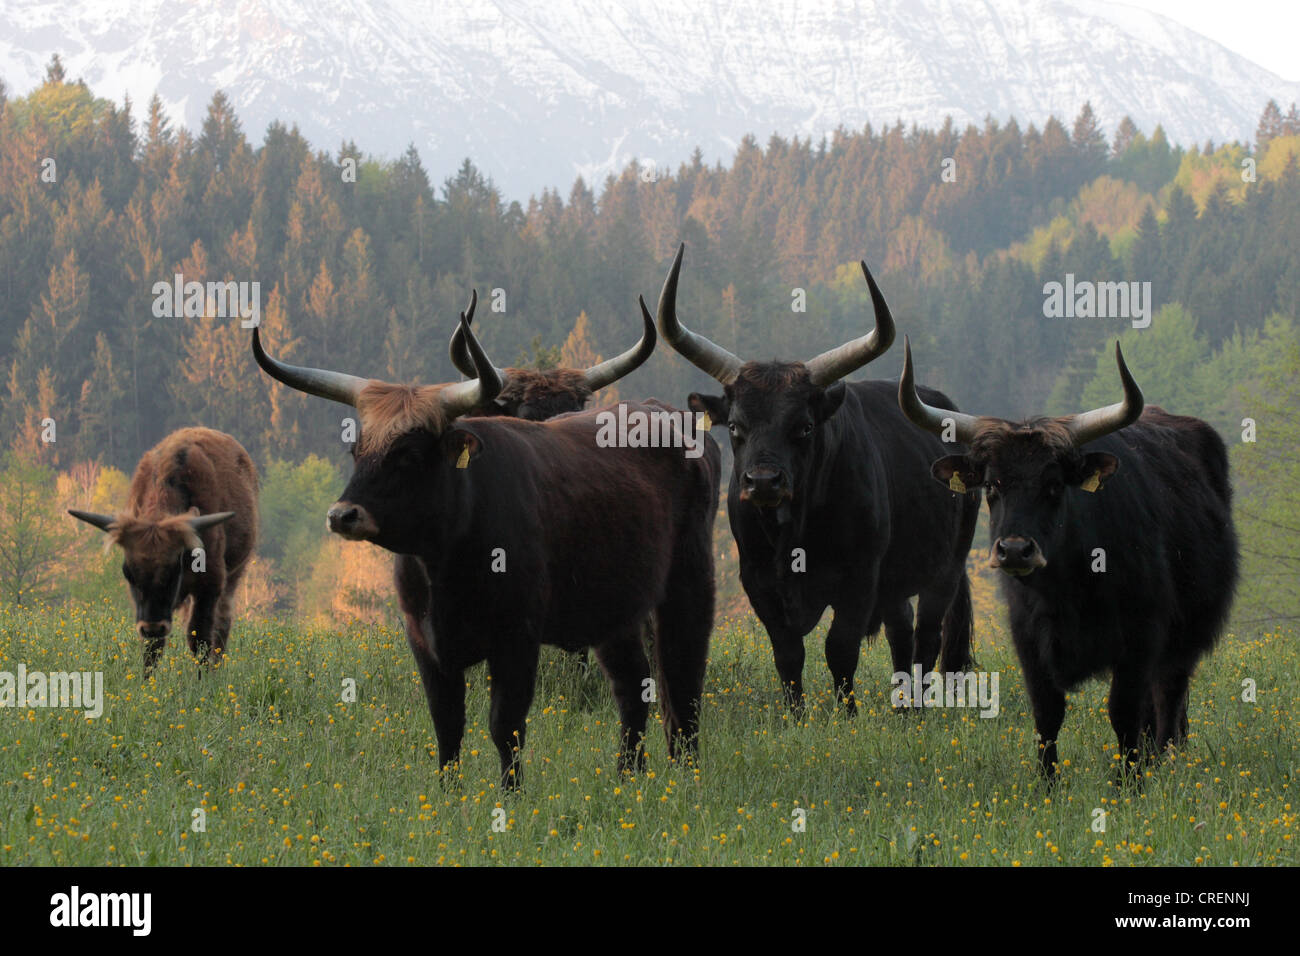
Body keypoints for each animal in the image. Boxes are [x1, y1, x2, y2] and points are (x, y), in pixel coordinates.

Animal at [67, 426, 258, 671]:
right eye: (128, 572)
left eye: (174, 569)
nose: (153, 627)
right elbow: (152, 649)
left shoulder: (210, 586)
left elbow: (200, 638)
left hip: (233, 577)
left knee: (222, 627)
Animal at [660, 243, 977, 712]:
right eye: (734, 426)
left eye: (805, 427)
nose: (763, 482)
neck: (794, 532)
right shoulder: (757, 580)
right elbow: (788, 653)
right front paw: (797, 716)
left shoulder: (860, 578)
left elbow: (840, 648)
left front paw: (846, 715)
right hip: (897, 581)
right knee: (901, 632)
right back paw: (902, 710)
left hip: (947, 567)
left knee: (926, 636)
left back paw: (918, 710)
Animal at [899, 340, 1232, 775]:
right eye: (991, 485)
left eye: (1054, 485)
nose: (1015, 550)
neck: (1070, 588)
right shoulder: (1028, 640)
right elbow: (1048, 715)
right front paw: (1048, 782)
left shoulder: (1142, 638)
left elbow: (1124, 713)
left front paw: (1129, 783)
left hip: (1184, 639)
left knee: (1168, 701)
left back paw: (1163, 763)